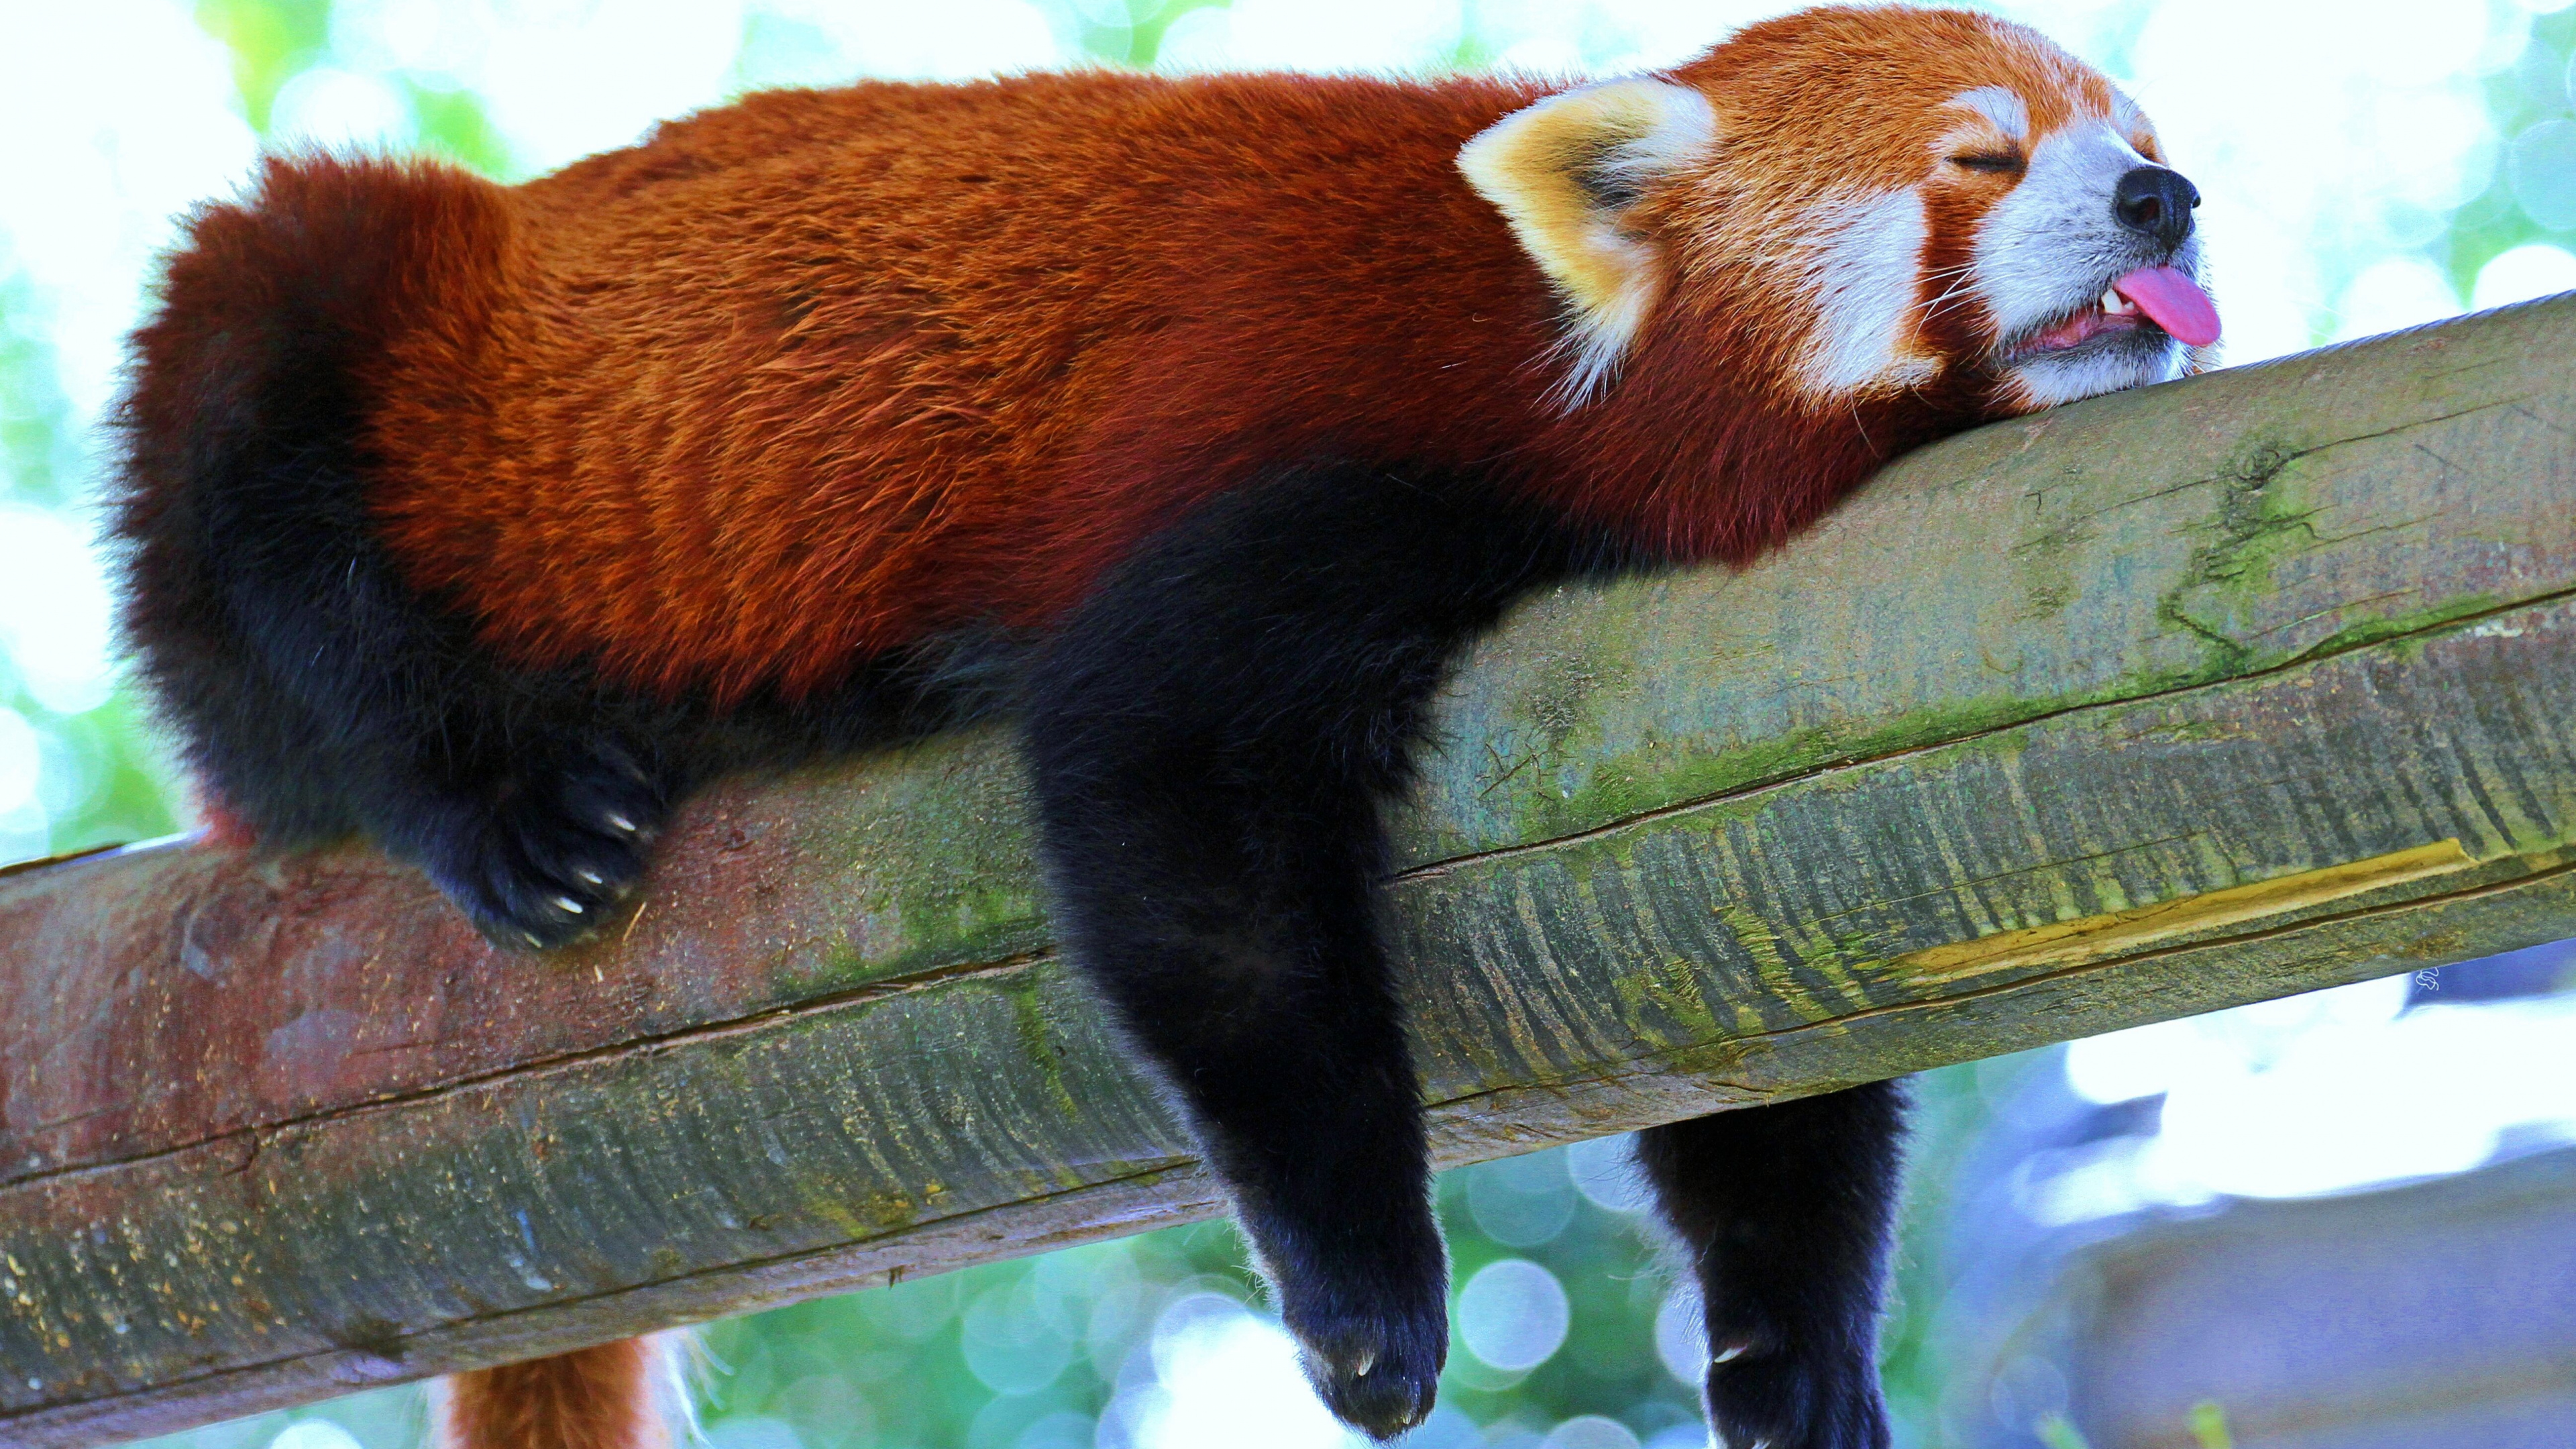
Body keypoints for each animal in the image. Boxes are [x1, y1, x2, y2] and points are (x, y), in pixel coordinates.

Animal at [115, 3, 2215, 1444]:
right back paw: (492, 791)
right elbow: (1180, 826)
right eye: (1980, 161)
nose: (2165, 192)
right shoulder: (1289, 435)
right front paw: (1367, 1294)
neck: (1544, 340)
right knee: (263, 443)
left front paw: (1792, 1345)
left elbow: (1754, 1003)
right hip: (362, 358)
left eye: (2130, 136)